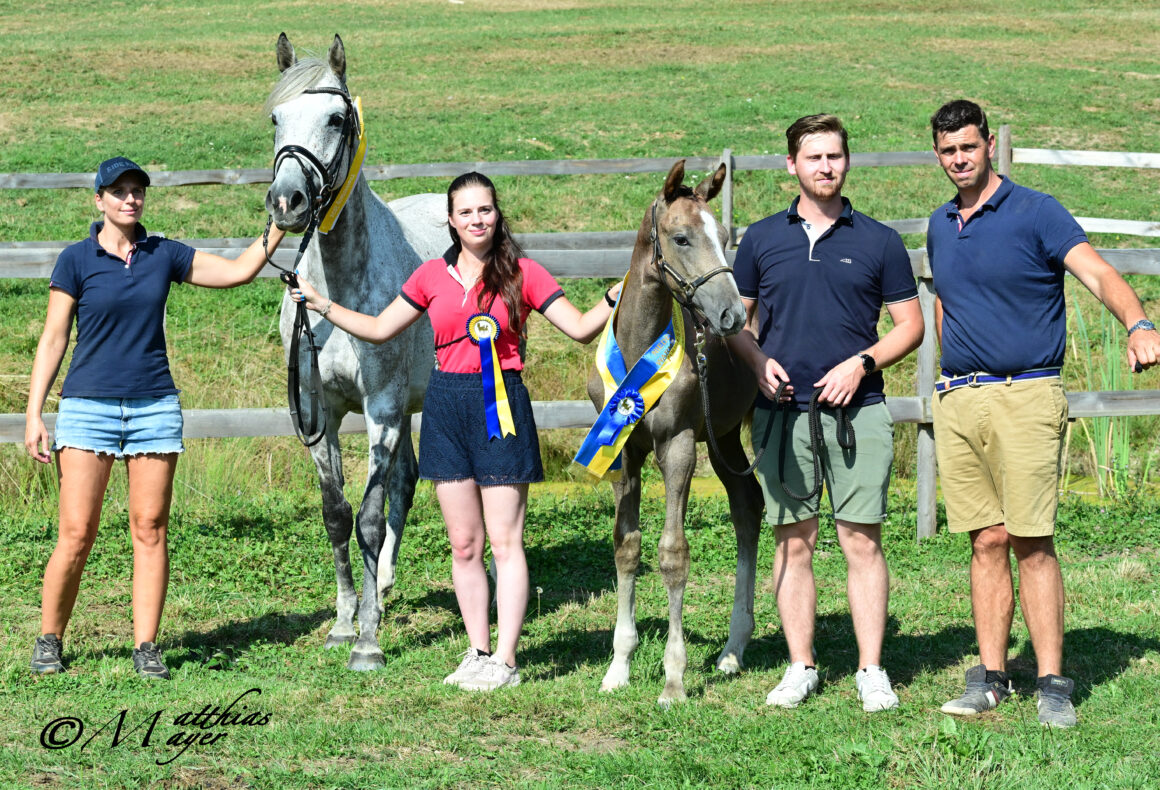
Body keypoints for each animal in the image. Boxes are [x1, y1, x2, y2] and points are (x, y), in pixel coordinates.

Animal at [265, 33, 445, 668]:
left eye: (337, 118)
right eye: (275, 118)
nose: (287, 201)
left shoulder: (382, 411)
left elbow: (368, 517)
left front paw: (367, 641)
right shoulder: (319, 415)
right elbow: (338, 515)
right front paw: (346, 621)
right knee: (405, 482)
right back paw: (382, 587)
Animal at [584, 158, 765, 700]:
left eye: (724, 236)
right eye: (681, 238)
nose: (731, 315)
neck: (639, 349)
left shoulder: (679, 447)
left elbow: (672, 553)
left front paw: (674, 679)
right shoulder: (622, 453)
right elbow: (626, 546)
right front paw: (618, 666)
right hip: (725, 438)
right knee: (748, 507)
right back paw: (732, 651)